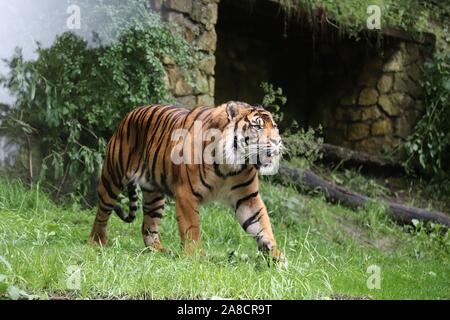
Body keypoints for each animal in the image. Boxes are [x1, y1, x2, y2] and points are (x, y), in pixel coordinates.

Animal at [89, 100, 286, 264]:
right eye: (257, 126)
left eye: (275, 127)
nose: (277, 142)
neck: (231, 166)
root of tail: (131, 113)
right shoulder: (186, 194)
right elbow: (192, 228)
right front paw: (195, 255)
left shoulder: (248, 198)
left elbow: (261, 225)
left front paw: (276, 255)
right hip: (112, 176)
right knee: (102, 212)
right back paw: (96, 242)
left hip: (154, 196)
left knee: (148, 227)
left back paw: (160, 250)